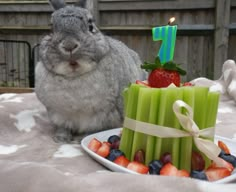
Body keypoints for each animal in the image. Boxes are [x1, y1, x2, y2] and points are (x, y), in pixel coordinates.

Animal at [35, 0, 146, 142]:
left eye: (90, 26)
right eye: (51, 29)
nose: (69, 45)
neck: (74, 75)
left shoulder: (101, 117)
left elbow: (93, 130)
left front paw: (83, 138)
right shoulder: (59, 115)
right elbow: (63, 127)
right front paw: (61, 138)